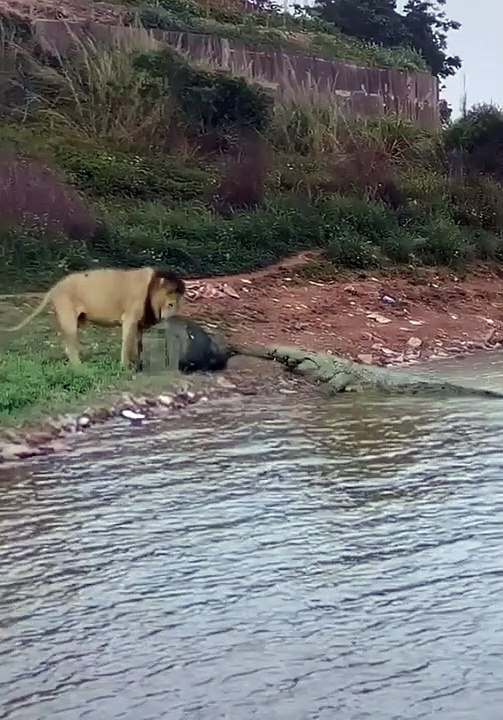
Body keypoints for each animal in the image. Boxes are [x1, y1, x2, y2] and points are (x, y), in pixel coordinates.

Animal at [2, 266, 186, 368]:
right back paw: (79, 368)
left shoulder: (139, 324)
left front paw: (139, 364)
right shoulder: (129, 318)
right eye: (171, 304)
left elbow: (138, 345)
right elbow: (127, 343)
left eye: (179, 303)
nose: (173, 318)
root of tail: (55, 286)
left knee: (66, 344)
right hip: (68, 317)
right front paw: (125, 366)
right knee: (70, 346)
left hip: (77, 320)